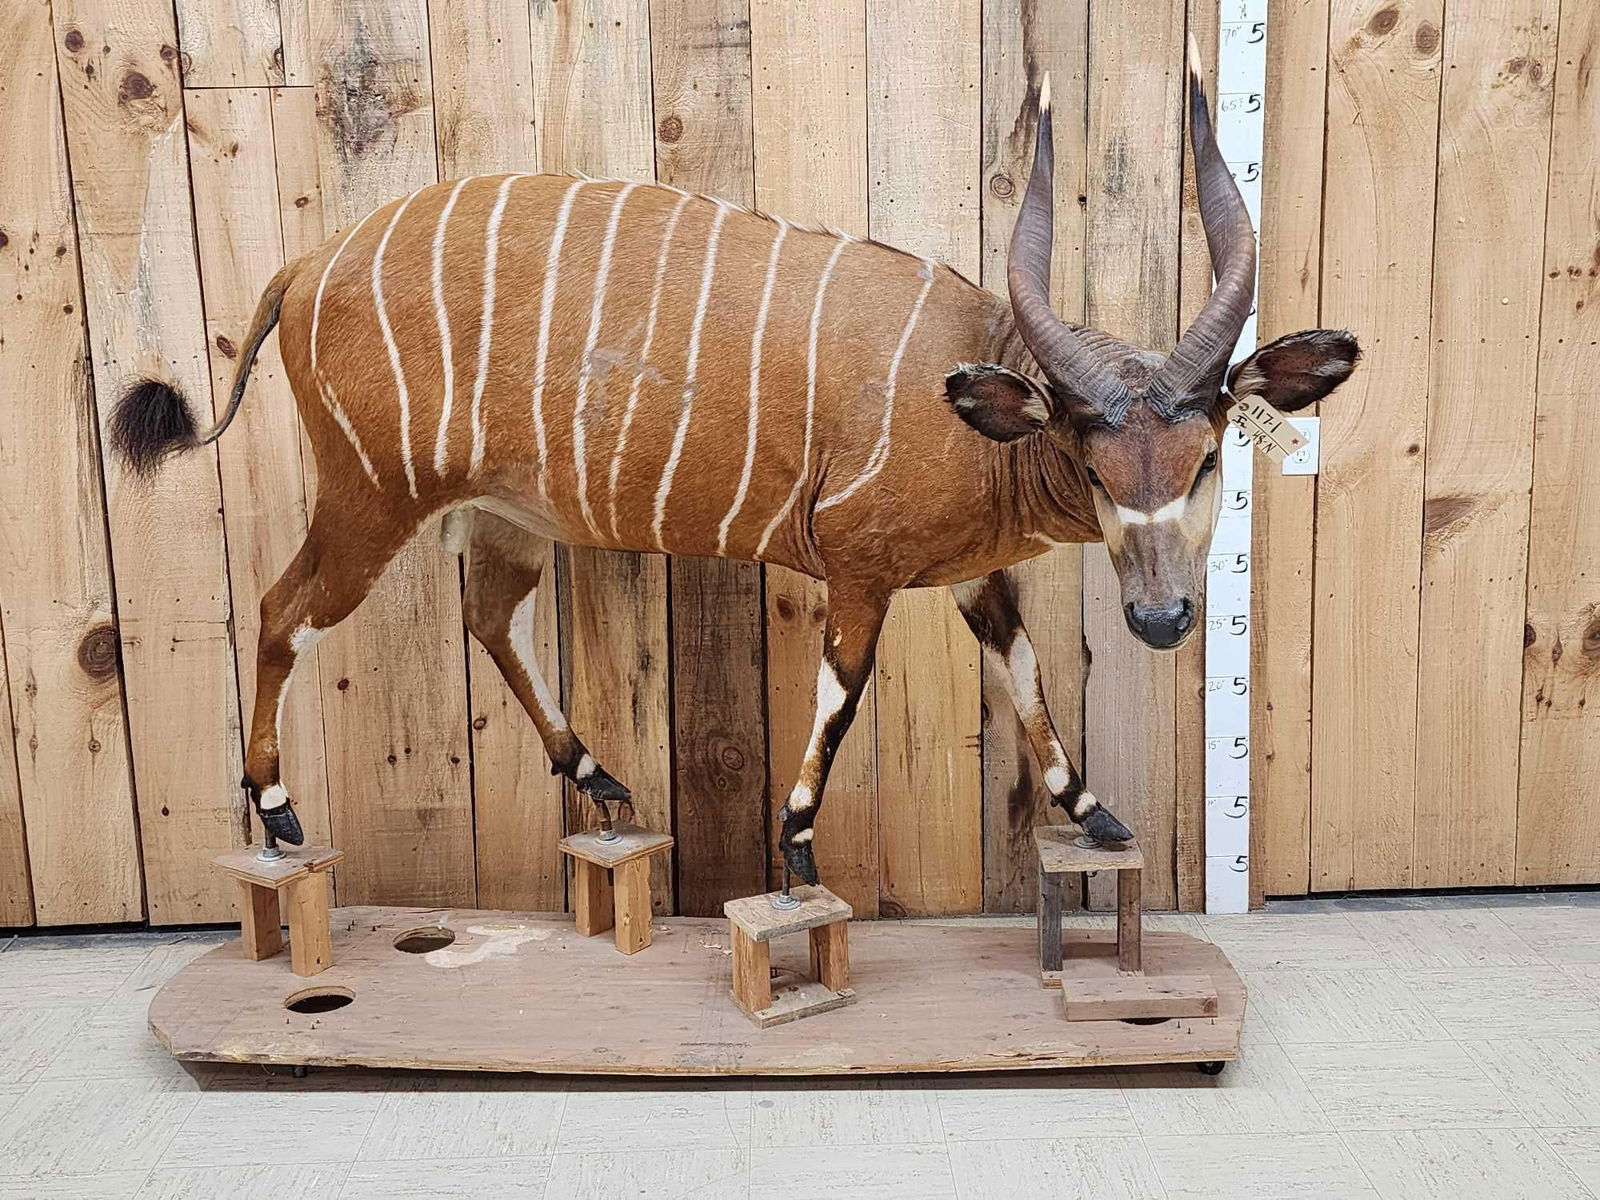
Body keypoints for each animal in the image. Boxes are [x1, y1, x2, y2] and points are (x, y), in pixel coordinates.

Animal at [110, 45, 1358, 892]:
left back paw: (600, 778)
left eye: (1204, 458)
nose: (1163, 618)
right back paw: (277, 812)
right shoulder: (859, 570)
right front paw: (795, 851)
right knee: (282, 609)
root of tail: (307, 264)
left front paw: (1095, 817)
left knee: (489, 616)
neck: (979, 408)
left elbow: (1025, 672)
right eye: (1094, 465)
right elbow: (842, 698)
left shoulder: (967, 577)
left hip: (509, 518)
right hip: (371, 496)